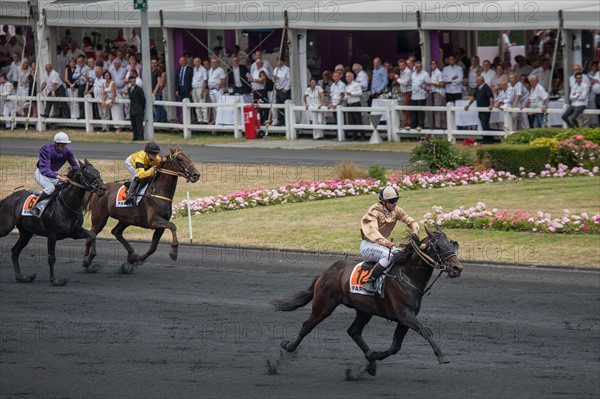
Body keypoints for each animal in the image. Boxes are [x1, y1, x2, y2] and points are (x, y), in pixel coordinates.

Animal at [0, 160, 105, 288]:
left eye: (97, 171)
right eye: (88, 173)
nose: (103, 188)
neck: (65, 205)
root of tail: (8, 198)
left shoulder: (74, 232)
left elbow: (92, 235)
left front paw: (87, 261)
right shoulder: (52, 235)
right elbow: (52, 258)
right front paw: (55, 280)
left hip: (26, 233)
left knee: (15, 252)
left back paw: (22, 277)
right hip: (6, 227)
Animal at [83, 145, 200, 274]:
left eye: (188, 157)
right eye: (179, 159)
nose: (196, 174)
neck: (157, 190)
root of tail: (98, 190)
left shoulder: (160, 225)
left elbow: (153, 247)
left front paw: (135, 259)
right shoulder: (153, 221)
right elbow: (173, 226)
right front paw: (174, 252)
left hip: (126, 219)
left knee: (116, 232)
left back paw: (131, 254)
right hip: (100, 219)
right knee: (91, 236)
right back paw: (87, 263)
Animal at [274, 228, 464, 378]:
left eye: (452, 244)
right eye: (438, 246)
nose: (457, 268)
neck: (406, 275)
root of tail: (327, 271)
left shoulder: (405, 318)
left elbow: (395, 346)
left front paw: (373, 356)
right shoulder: (405, 314)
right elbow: (425, 331)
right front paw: (442, 356)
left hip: (364, 310)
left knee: (354, 332)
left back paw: (371, 363)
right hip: (324, 304)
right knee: (307, 326)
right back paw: (288, 347)